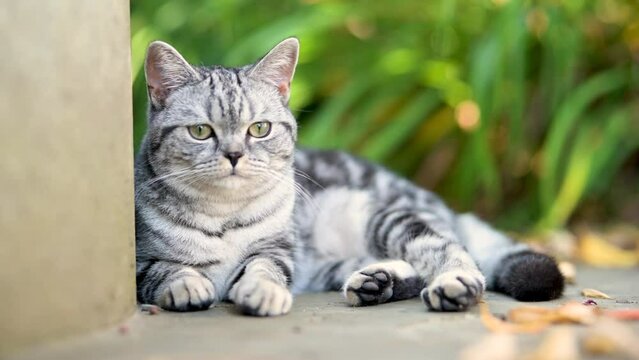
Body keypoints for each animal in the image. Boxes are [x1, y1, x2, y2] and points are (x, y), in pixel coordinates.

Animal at [135, 38, 564, 316]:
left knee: (451, 251)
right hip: (333, 263)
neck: (223, 215)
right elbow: (165, 269)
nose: (235, 155)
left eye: (259, 129)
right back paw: (377, 282)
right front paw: (187, 283)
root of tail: (444, 208)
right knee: (408, 267)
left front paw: (262, 291)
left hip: (384, 216)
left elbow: (263, 269)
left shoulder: (279, 251)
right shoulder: (139, 260)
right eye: (200, 131)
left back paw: (452, 284)